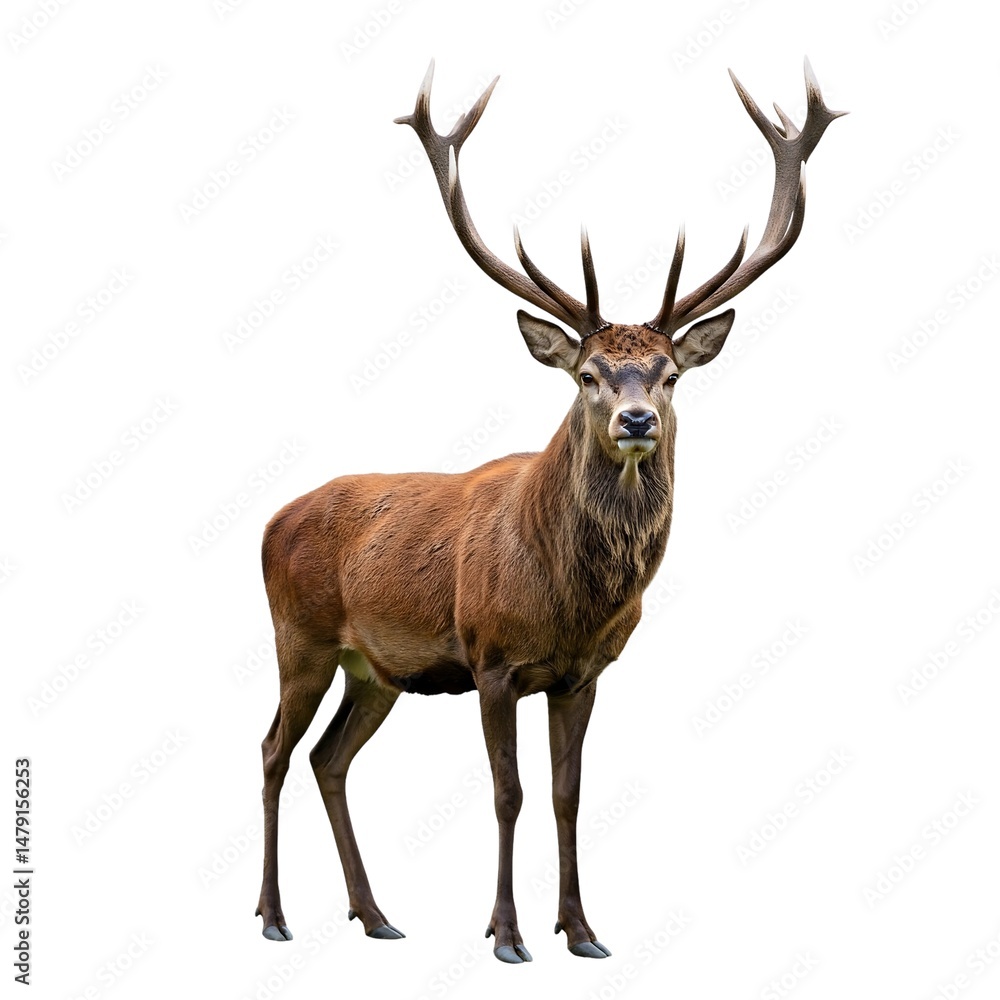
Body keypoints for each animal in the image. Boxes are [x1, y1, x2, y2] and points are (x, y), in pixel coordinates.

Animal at [255, 59, 843, 963]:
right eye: (588, 374)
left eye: (669, 374)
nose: (635, 420)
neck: (568, 601)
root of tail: (268, 522)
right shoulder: (491, 658)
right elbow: (510, 793)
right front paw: (505, 934)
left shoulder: (584, 673)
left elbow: (569, 793)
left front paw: (583, 929)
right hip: (301, 638)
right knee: (273, 752)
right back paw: (275, 916)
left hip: (376, 670)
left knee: (329, 759)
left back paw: (376, 914)